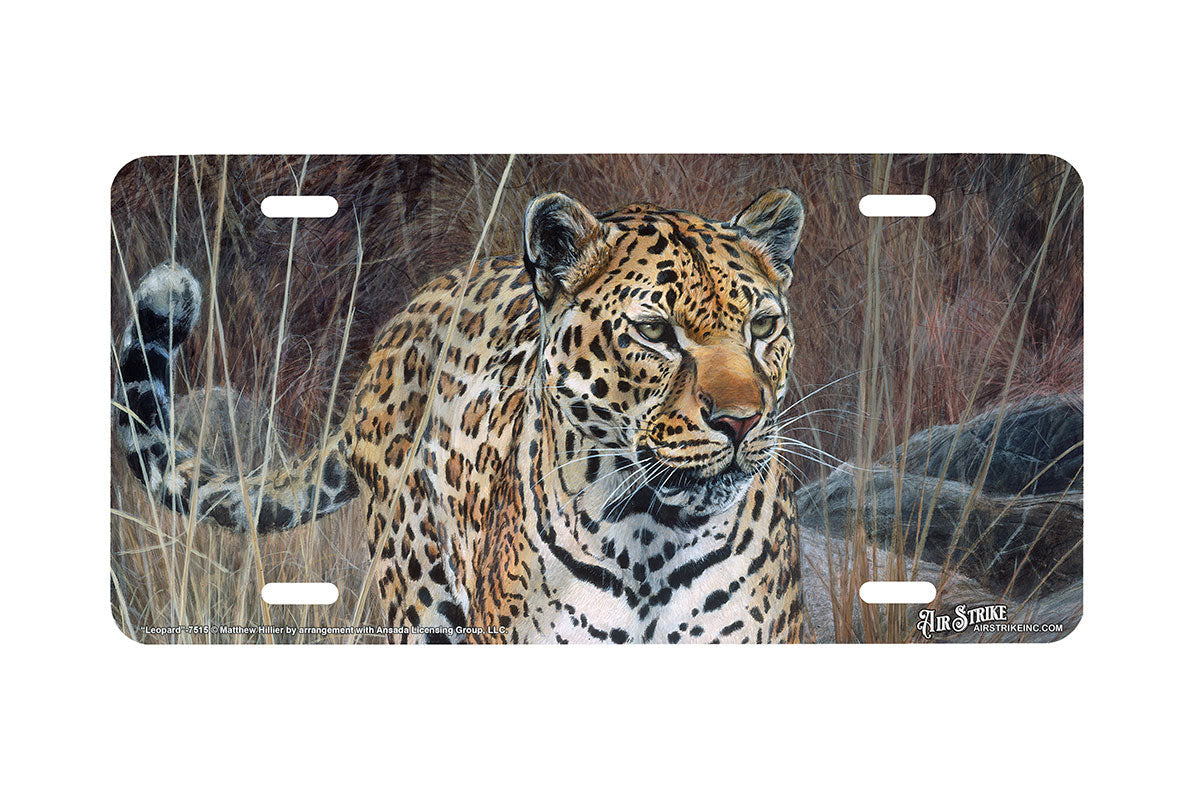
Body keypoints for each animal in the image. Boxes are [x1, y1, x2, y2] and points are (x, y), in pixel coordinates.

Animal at [113, 188, 808, 643]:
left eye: (763, 326)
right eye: (655, 332)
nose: (742, 422)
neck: (652, 541)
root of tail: (399, 325)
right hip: (417, 595)